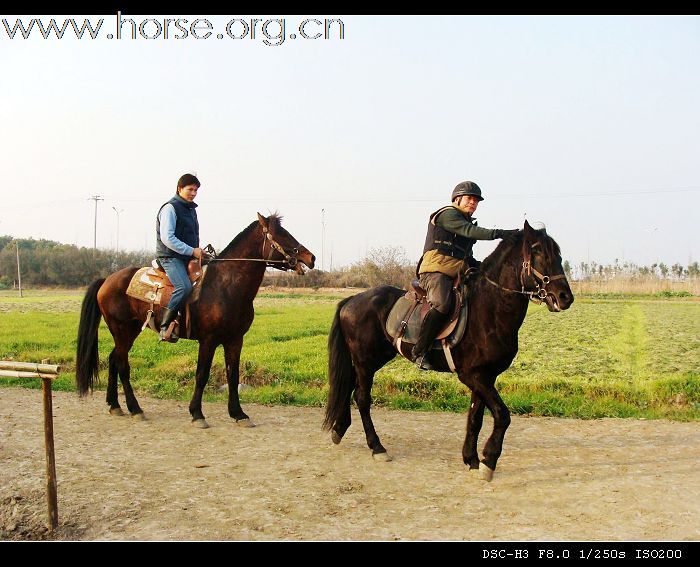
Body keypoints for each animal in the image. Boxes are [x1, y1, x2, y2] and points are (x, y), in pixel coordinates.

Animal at [76, 215, 314, 428]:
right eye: (281, 234)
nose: (310, 257)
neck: (224, 286)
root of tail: (107, 280)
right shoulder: (208, 340)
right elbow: (202, 374)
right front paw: (197, 414)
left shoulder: (235, 340)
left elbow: (233, 375)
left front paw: (238, 414)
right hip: (122, 330)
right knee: (123, 365)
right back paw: (135, 409)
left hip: (129, 331)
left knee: (114, 359)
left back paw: (115, 405)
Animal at [322, 220, 576, 482]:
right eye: (539, 253)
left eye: (558, 255)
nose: (565, 297)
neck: (489, 309)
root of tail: (352, 300)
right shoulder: (473, 376)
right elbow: (502, 415)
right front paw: (489, 461)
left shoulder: (485, 377)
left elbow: (475, 418)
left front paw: (471, 459)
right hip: (366, 361)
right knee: (362, 398)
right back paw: (376, 447)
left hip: (373, 359)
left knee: (349, 387)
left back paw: (339, 429)